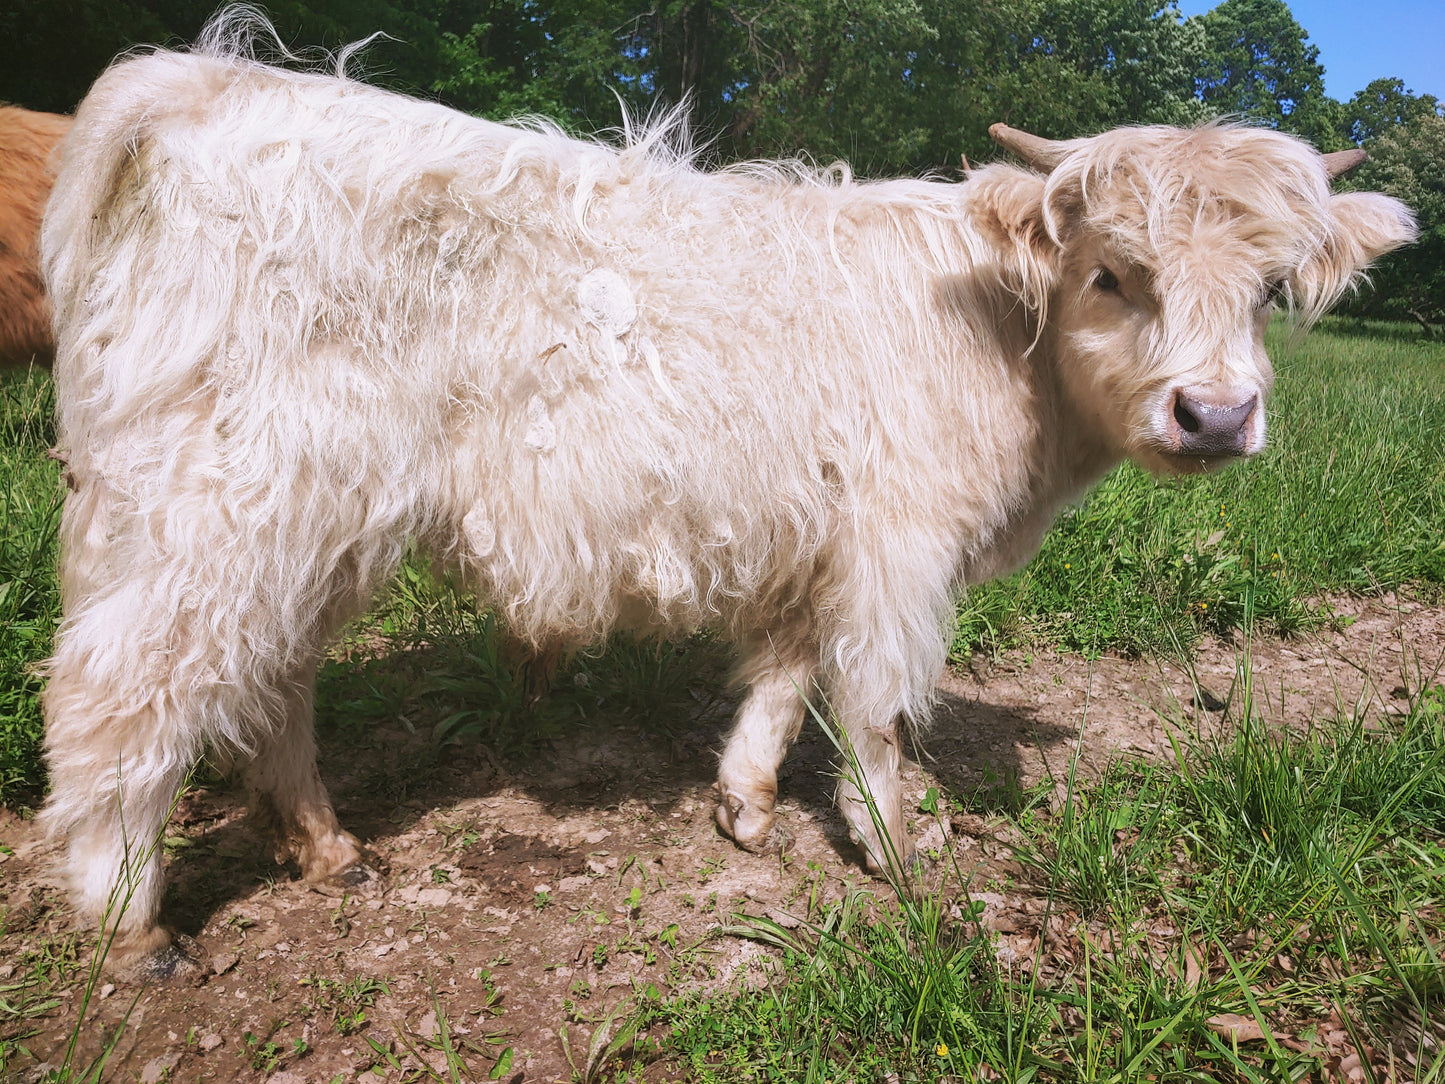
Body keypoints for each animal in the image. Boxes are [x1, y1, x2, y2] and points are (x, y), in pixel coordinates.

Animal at [39, 26, 1414, 976]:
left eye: (1269, 288)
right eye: (1112, 273)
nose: (1214, 416)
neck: (993, 337)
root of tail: (203, 80)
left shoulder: (821, 540)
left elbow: (783, 674)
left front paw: (745, 807)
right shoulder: (897, 547)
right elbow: (876, 706)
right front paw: (894, 845)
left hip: (313, 522)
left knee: (267, 675)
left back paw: (322, 845)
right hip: (214, 510)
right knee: (127, 695)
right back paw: (126, 921)